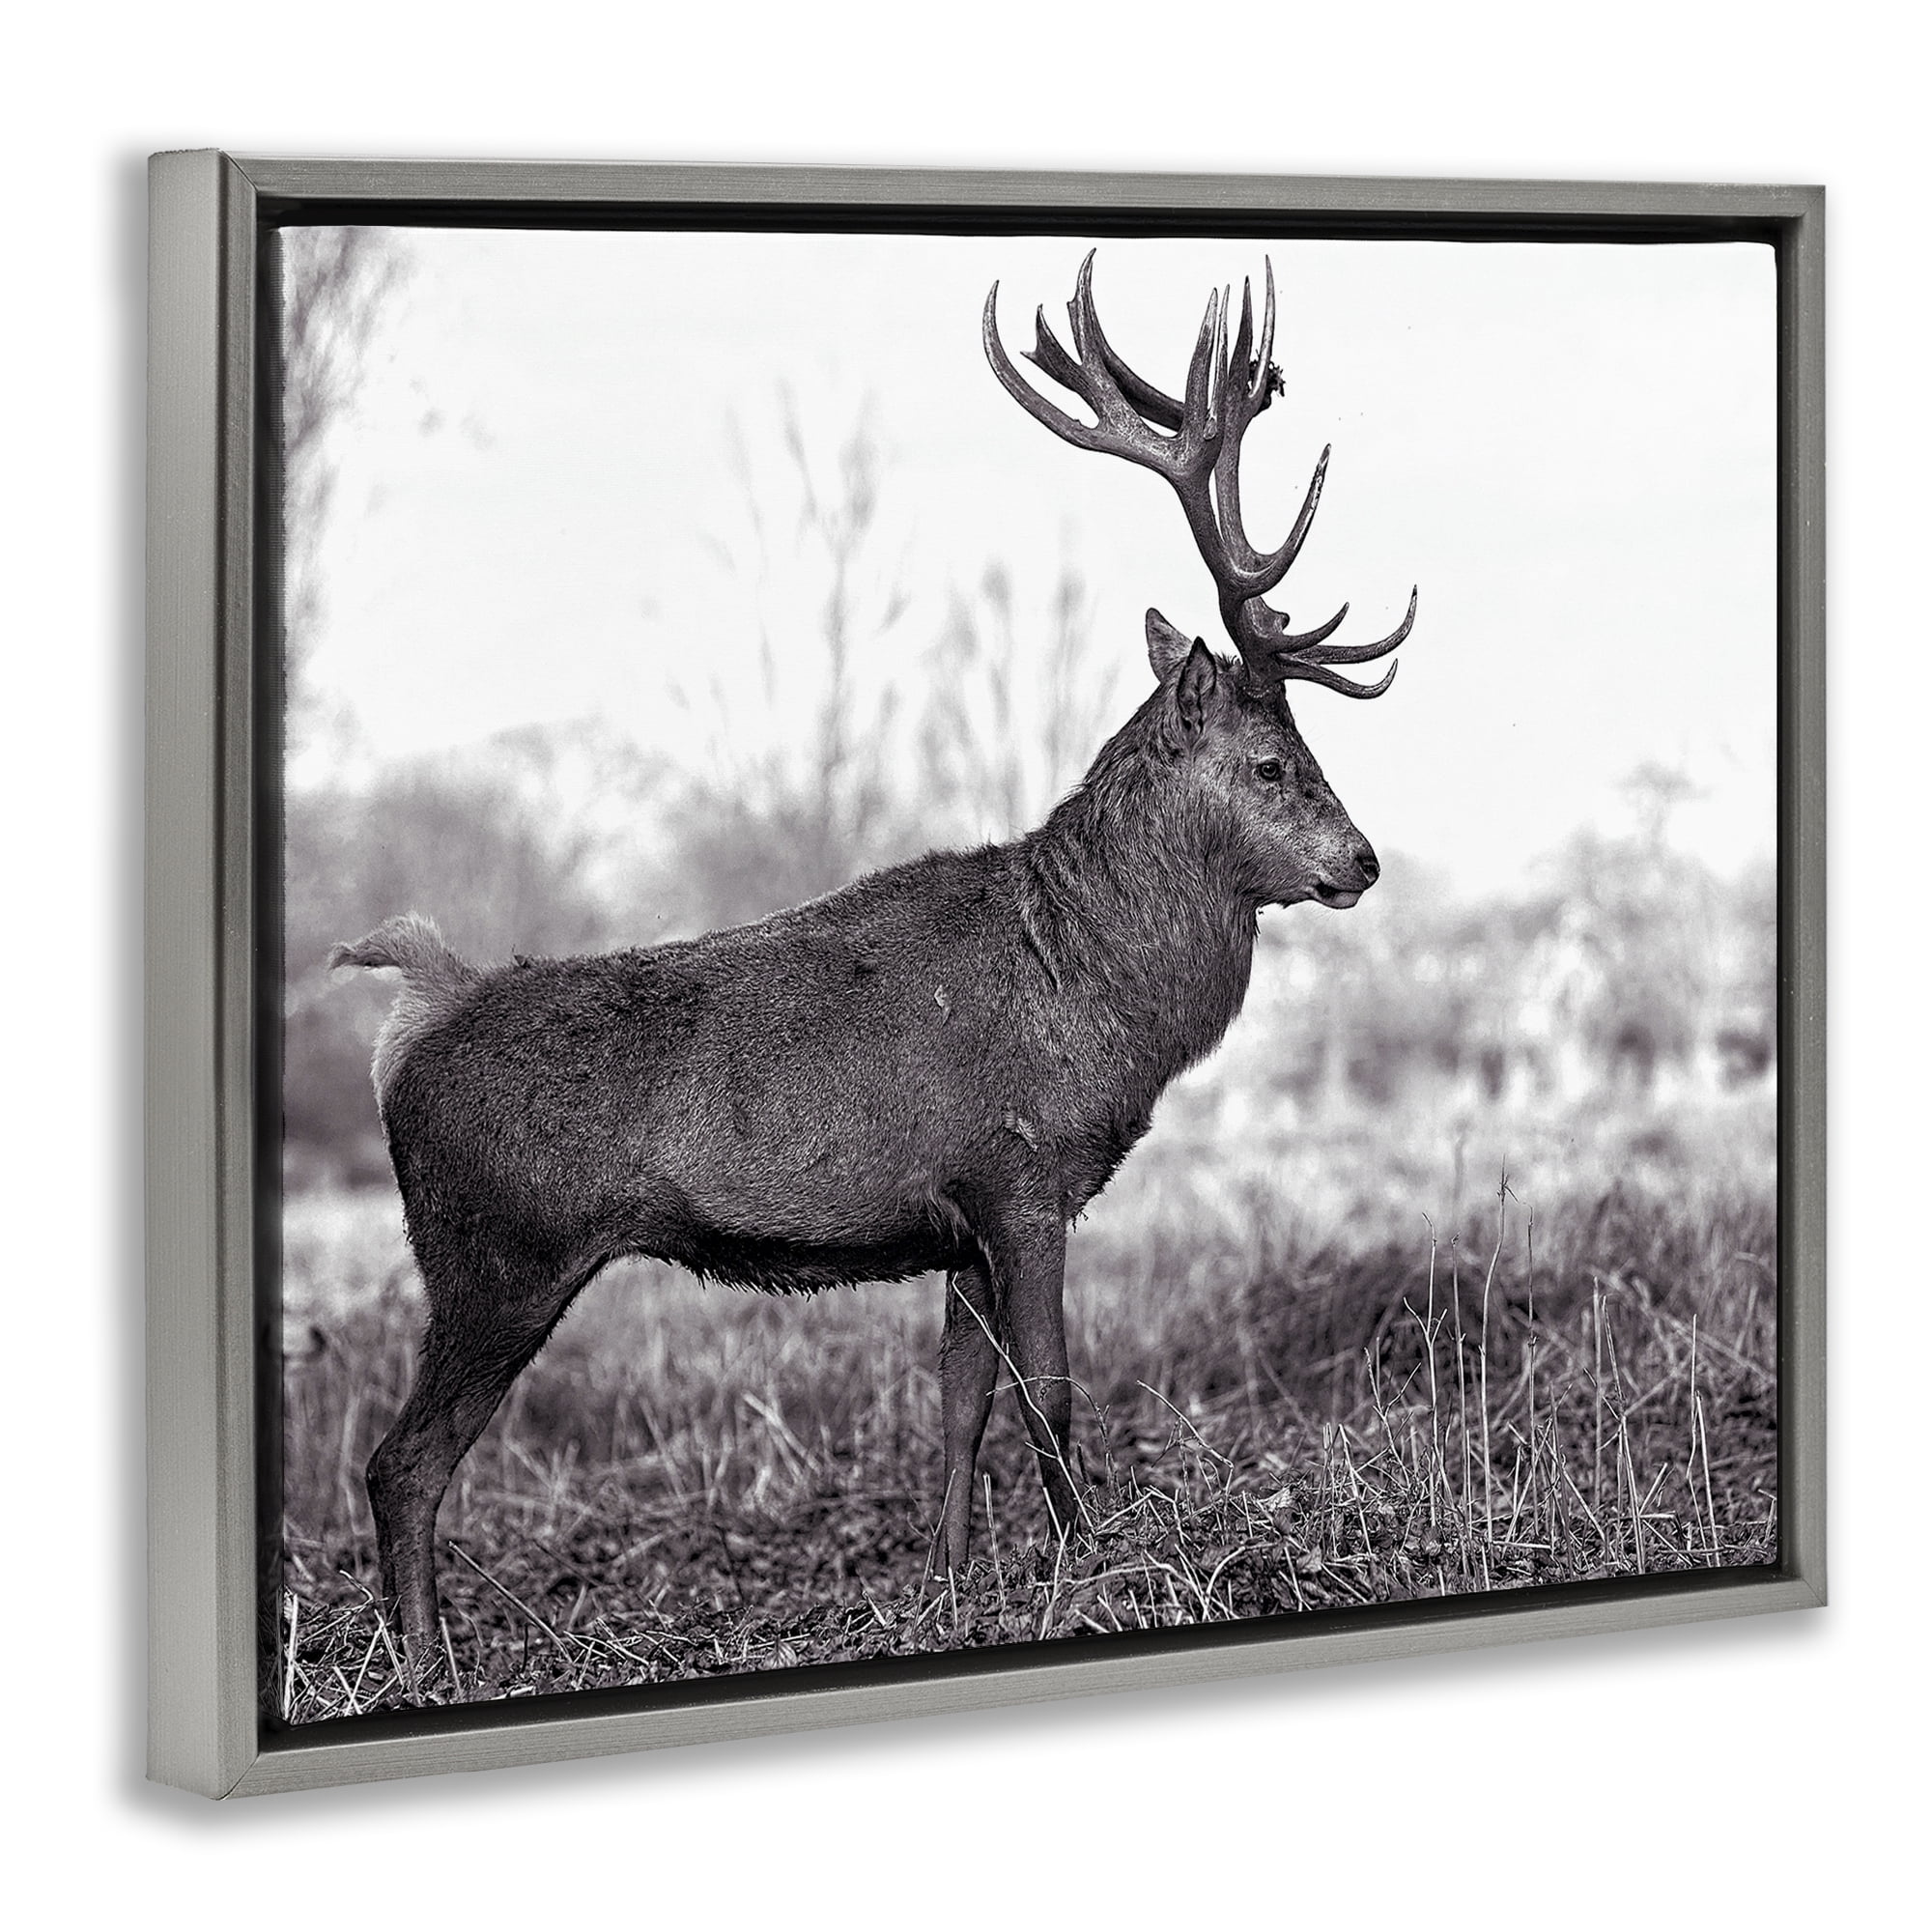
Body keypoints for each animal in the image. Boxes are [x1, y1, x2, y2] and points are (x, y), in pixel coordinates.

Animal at [330, 251, 1416, 1675]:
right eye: (1272, 762)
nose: (1362, 862)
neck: (1096, 992)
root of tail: (412, 1017)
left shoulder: (954, 1217)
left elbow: (958, 1398)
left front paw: (949, 1584)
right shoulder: (1022, 1174)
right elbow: (1049, 1391)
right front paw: (1090, 1568)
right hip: (495, 1251)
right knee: (399, 1462)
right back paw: (427, 1661)